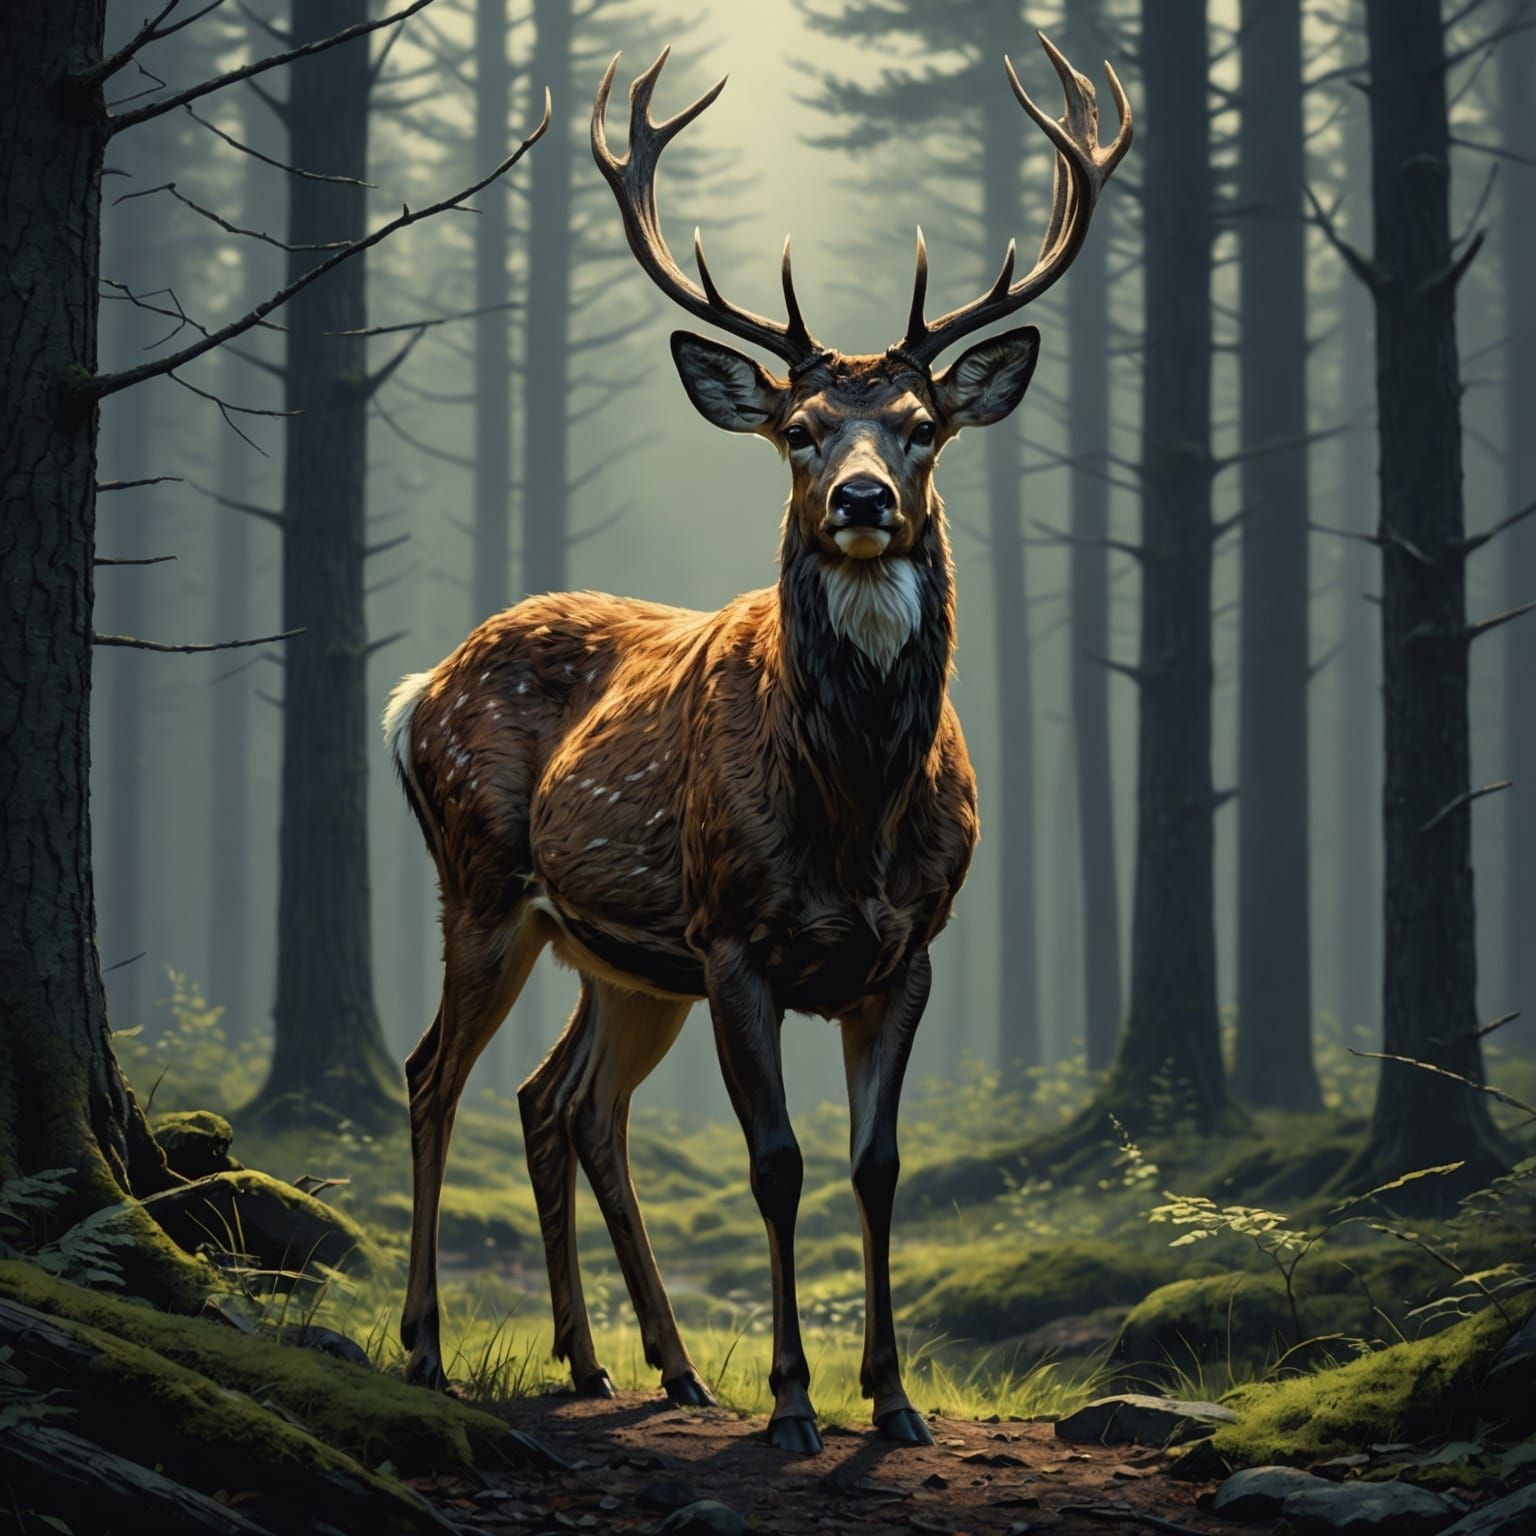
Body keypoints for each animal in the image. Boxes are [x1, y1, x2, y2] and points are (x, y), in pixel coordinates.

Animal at [387, 35, 1129, 1453]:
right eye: (799, 431)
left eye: (924, 425)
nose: (863, 499)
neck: (854, 812)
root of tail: (414, 693)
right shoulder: (735, 935)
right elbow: (776, 1165)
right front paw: (791, 1403)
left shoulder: (910, 948)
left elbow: (875, 1166)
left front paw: (891, 1401)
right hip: (485, 882)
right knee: (432, 1074)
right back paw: (429, 1349)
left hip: (623, 957)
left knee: (563, 1103)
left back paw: (633, 1365)